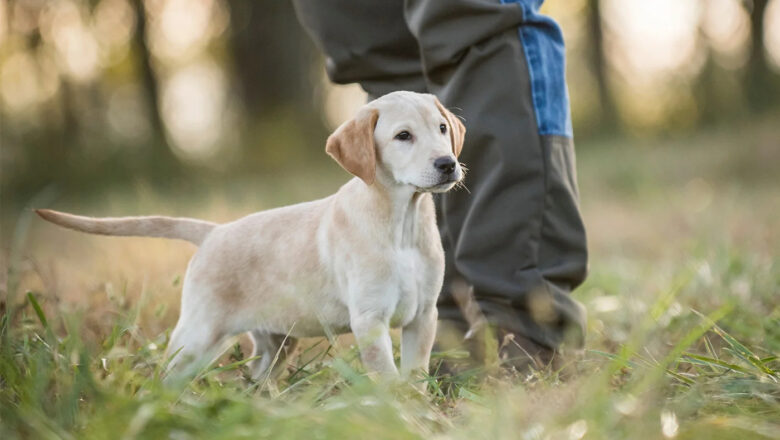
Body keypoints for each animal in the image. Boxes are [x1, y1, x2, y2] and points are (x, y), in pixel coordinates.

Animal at [35, 91, 464, 384]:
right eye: (403, 136)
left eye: (442, 129)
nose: (448, 163)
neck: (402, 223)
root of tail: (213, 232)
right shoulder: (370, 321)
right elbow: (389, 379)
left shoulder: (424, 316)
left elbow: (416, 375)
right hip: (198, 334)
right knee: (164, 377)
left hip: (276, 341)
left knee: (255, 381)